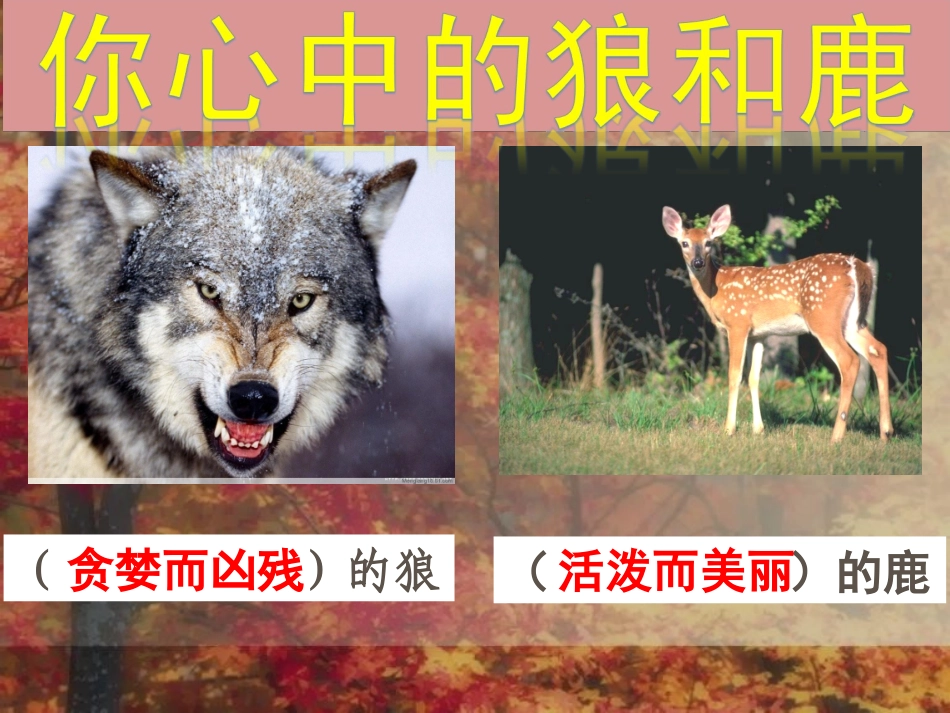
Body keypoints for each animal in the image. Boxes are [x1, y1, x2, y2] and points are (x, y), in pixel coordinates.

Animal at [661, 204, 893, 443]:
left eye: (709, 242)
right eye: (685, 243)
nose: (697, 263)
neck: (716, 288)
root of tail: (858, 266)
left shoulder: (738, 323)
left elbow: (734, 375)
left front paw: (729, 429)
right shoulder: (758, 334)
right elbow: (754, 378)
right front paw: (758, 429)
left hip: (823, 317)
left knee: (849, 360)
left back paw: (837, 435)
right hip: (853, 321)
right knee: (878, 349)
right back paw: (886, 432)